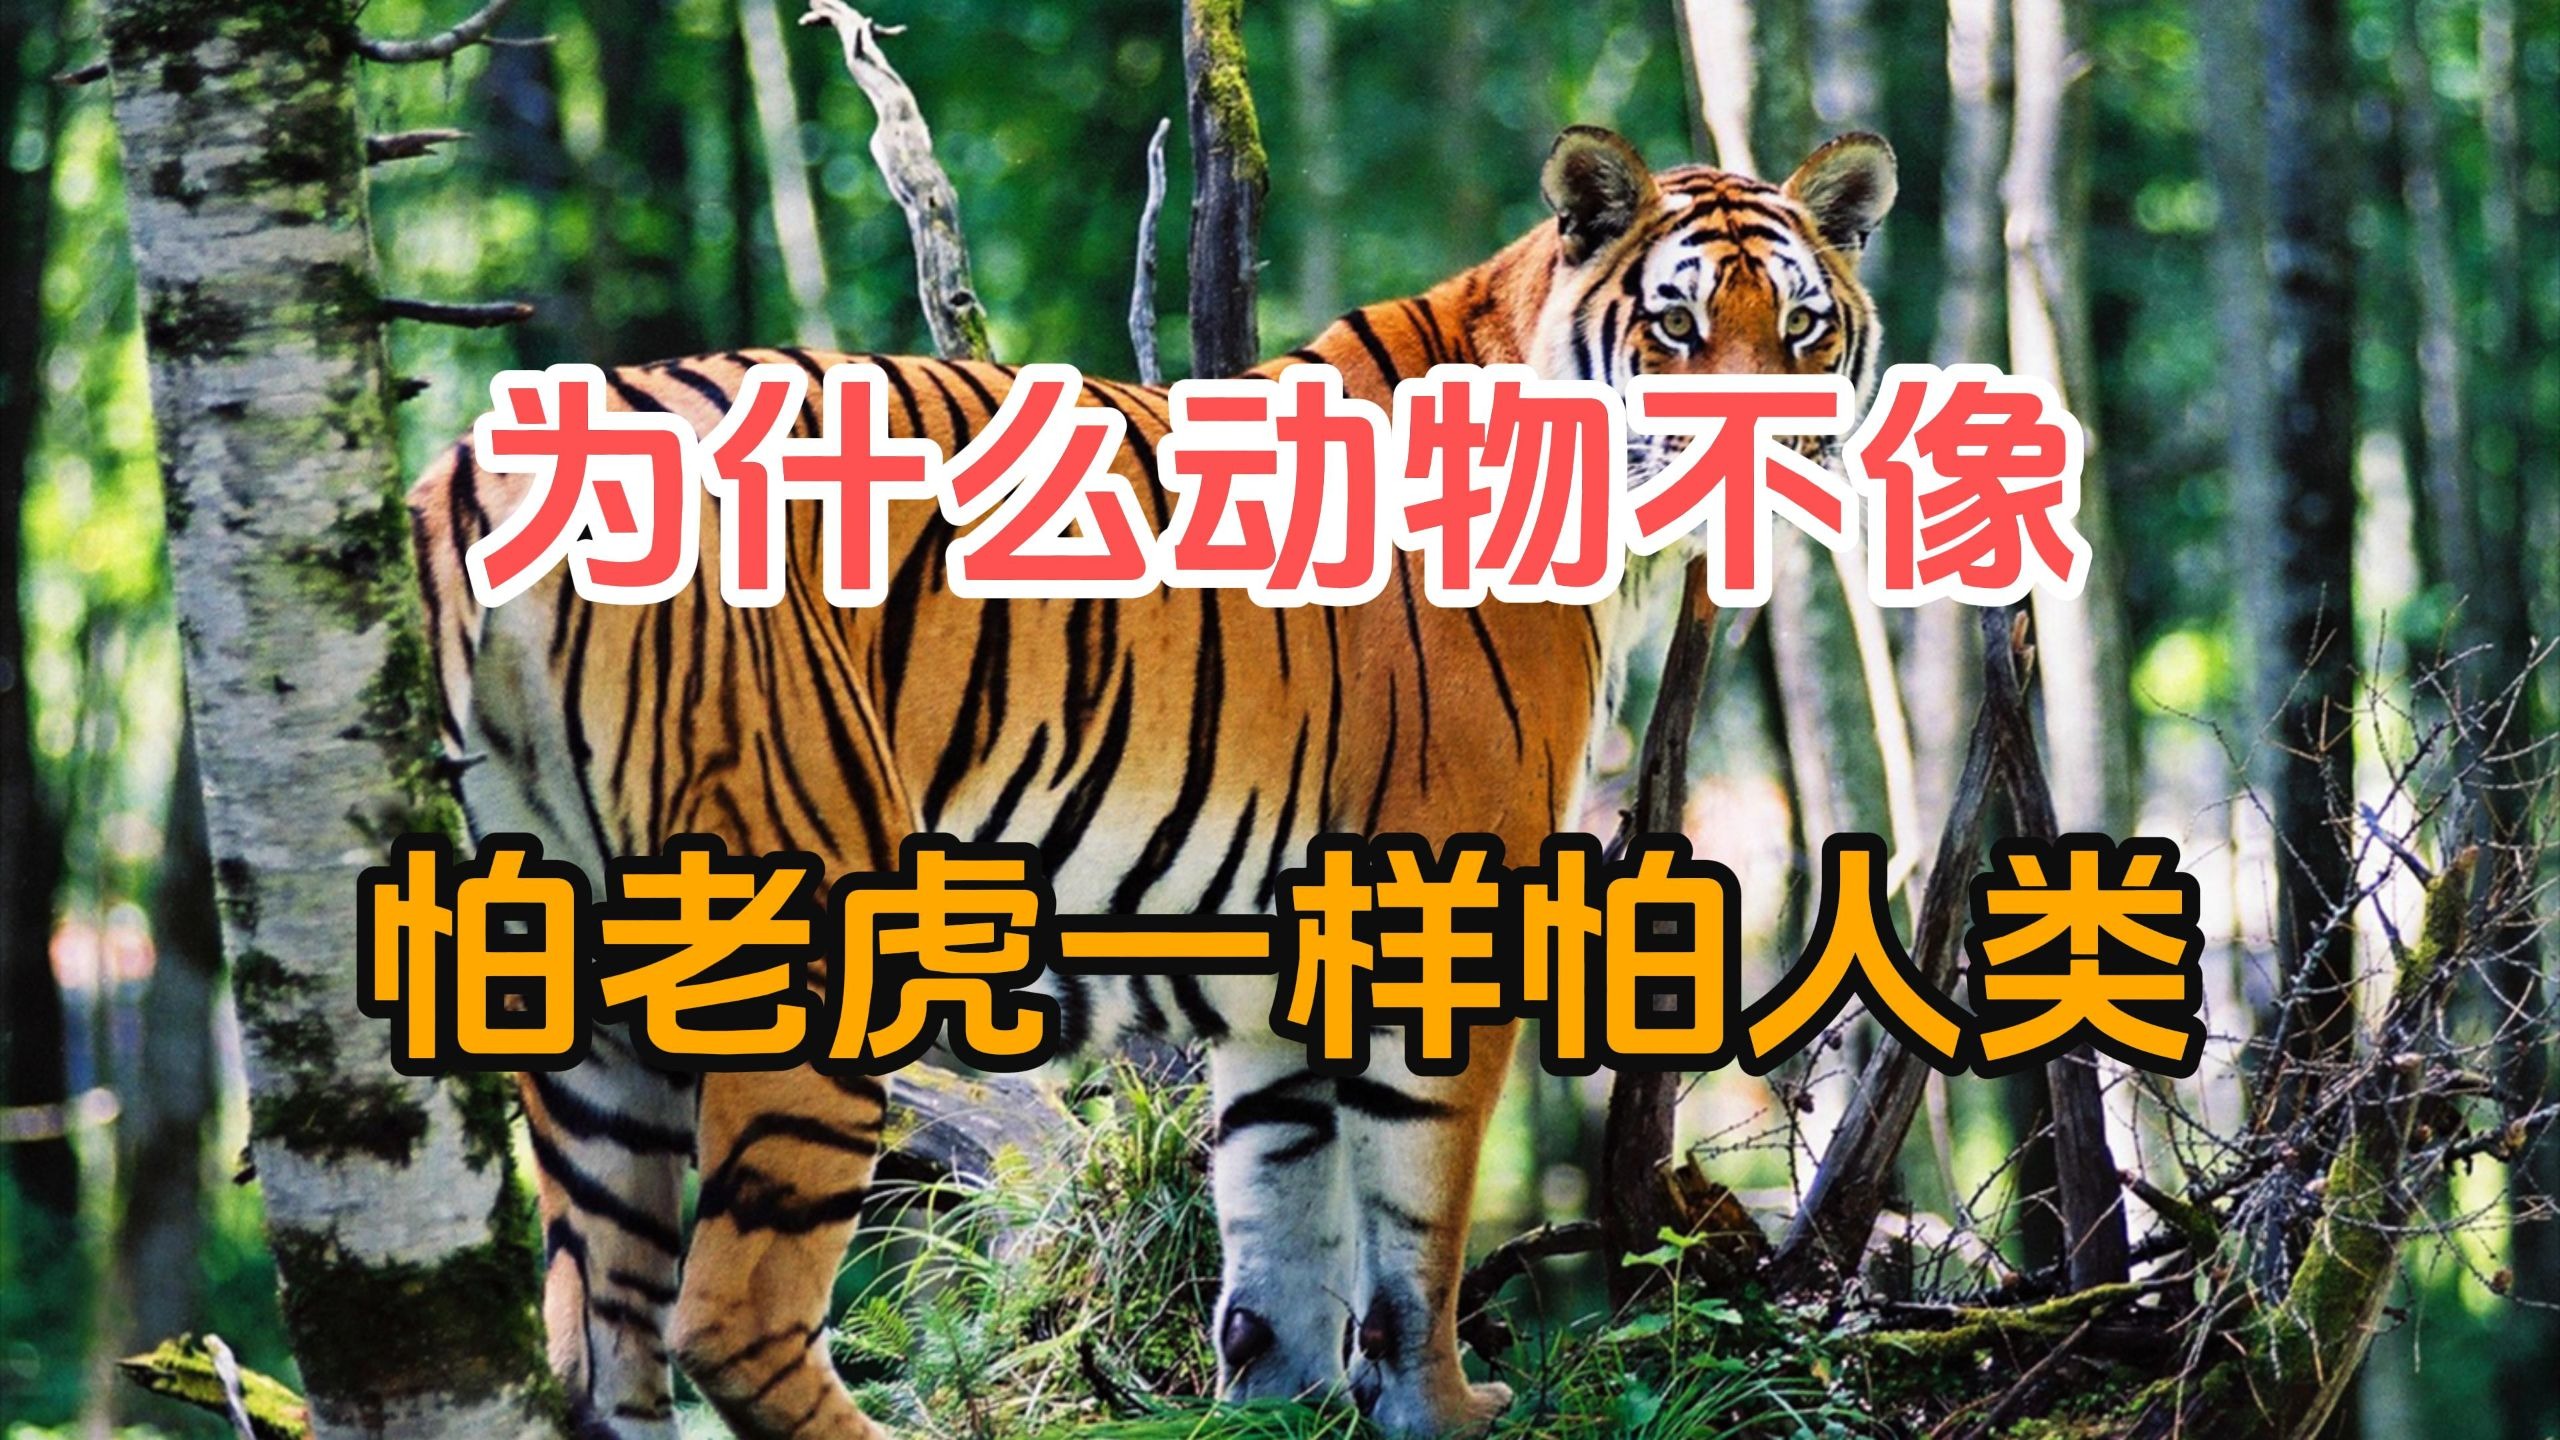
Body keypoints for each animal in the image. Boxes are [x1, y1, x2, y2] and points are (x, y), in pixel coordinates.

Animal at [406, 124, 1896, 1440]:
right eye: (1679, 328)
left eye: (1802, 327)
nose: (1762, 445)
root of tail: (486, 470)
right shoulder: (1439, 894)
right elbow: (1415, 1214)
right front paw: (1442, 1406)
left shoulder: (1287, 954)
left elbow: (1278, 1206)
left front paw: (1277, 1402)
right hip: (799, 925)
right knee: (726, 1312)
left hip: (573, 985)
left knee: (599, 1337)